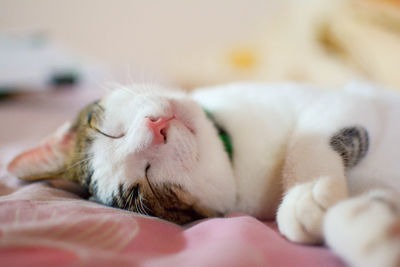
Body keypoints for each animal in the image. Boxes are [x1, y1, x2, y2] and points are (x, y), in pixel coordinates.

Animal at [7, 82, 400, 267]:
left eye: (107, 132)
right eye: (143, 188)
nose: (156, 127)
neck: (236, 152)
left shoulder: (345, 99)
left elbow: (307, 141)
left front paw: (307, 191)